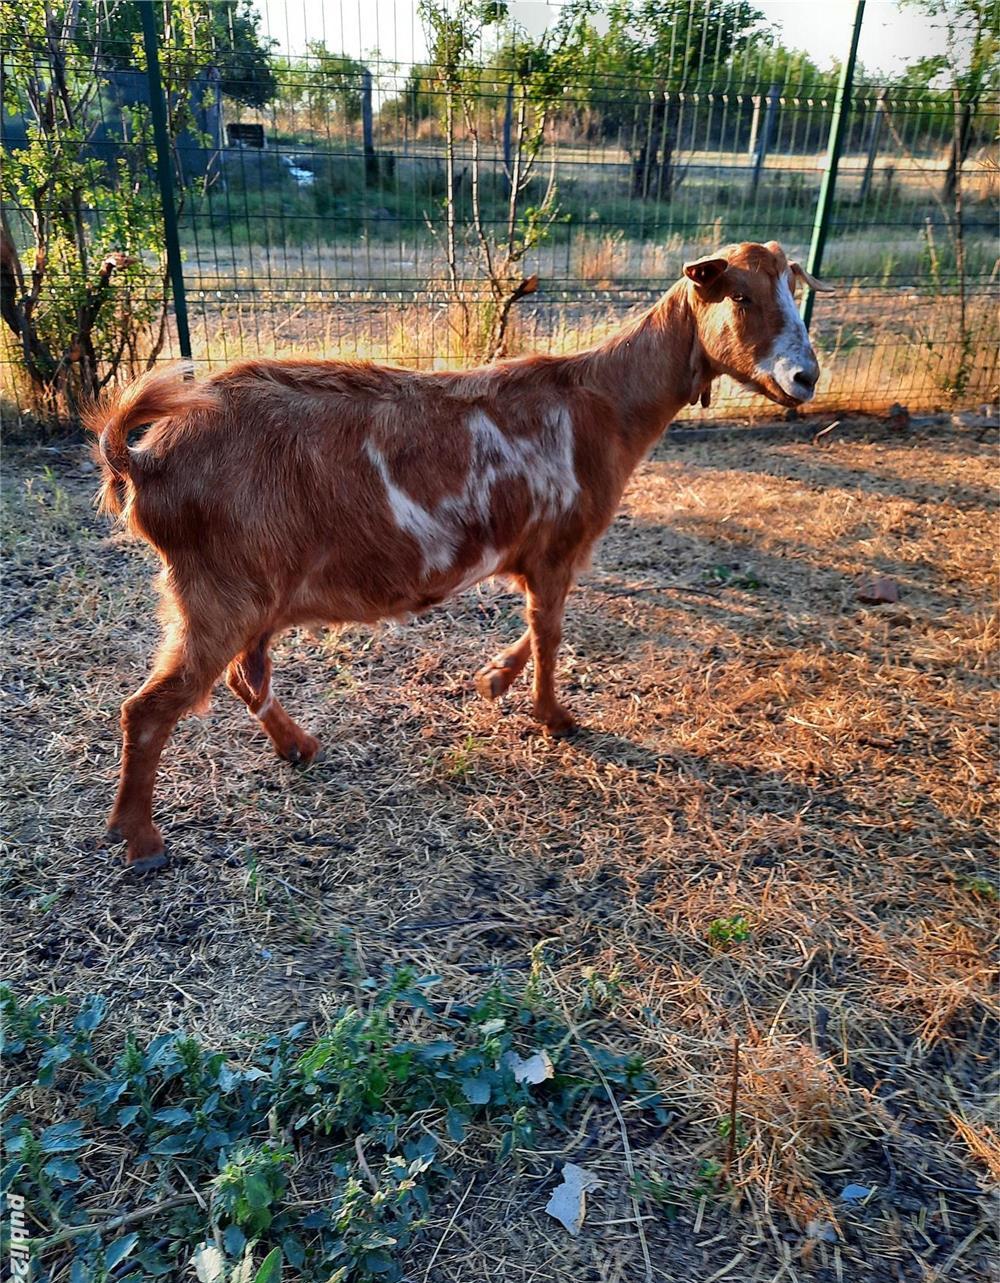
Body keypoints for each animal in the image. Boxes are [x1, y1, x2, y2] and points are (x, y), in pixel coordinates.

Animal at [87, 240, 831, 869]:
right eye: (740, 296)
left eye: (795, 291)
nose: (805, 377)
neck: (602, 401)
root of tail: (146, 462)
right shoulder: (561, 543)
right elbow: (551, 632)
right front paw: (556, 719)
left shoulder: (540, 551)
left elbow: (535, 626)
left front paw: (493, 681)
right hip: (218, 592)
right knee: (150, 707)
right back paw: (140, 839)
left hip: (249, 593)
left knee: (244, 678)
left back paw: (297, 747)